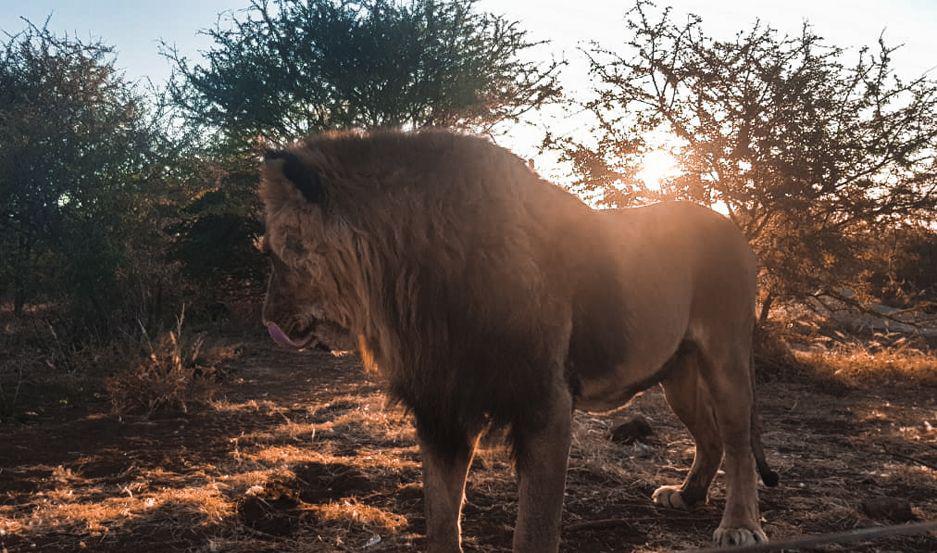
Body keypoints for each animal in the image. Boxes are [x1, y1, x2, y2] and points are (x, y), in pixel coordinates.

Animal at [258, 129, 779, 552]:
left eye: (279, 251)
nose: (267, 319)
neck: (413, 285)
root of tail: (731, 226)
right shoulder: (442, 407)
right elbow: (441, 519)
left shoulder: (545, 401)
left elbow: (534, 529)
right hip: (677, 374)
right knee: (709, 436)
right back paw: (687, 496)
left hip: (727, 357)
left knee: (736, 442)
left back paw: (740, 526)